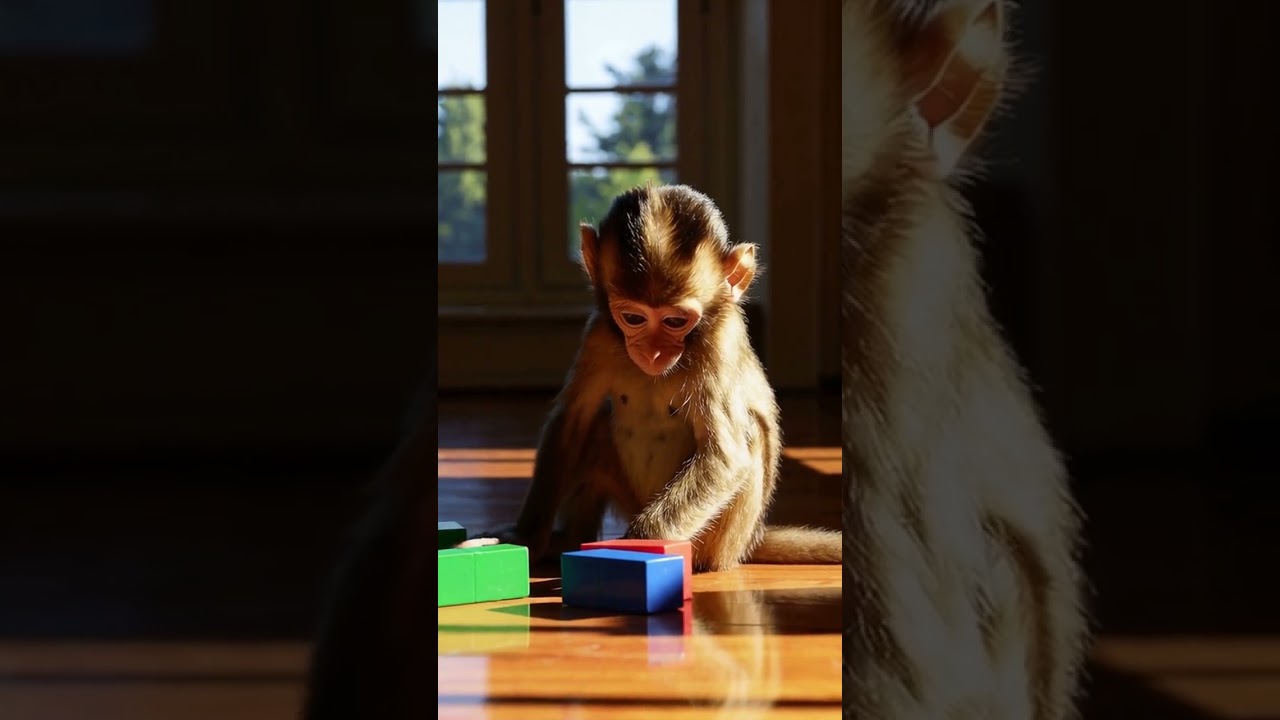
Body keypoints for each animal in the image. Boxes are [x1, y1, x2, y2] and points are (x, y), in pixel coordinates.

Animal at [475, 183, 841, 572]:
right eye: (634, 318)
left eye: (675, 321)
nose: (652, 352)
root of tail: (750, 541)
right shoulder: (599, 335)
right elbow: (571, 420)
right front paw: (526, 536)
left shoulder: (720, 341)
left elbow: (725, 458)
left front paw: (630, 550)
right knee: (596, 423)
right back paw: (568, 538)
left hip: (719, 541)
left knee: (750, 433)